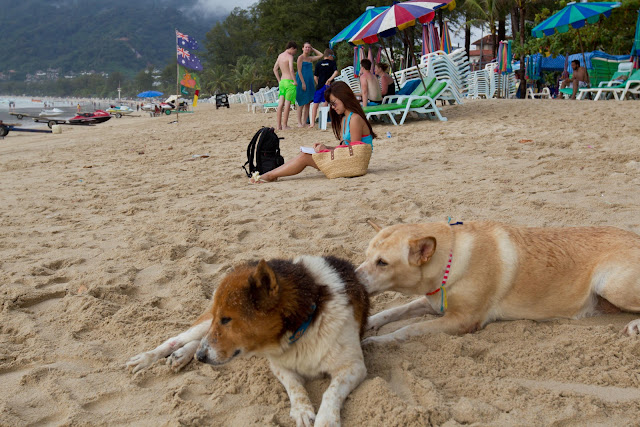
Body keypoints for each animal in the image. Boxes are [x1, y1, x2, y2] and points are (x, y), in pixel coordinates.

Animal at [127, 255, 369, 427]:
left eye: (226, 319)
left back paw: (184, 356)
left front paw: (325, 419)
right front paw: (301, 410)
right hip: (202, 325)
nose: (202, 358)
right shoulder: (279, 366)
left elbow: (331, 391)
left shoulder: (354, 366)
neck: (306, 321)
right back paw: (149, 358)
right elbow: (295, 385)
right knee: (176, 339)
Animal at [356, 220, 640, 345]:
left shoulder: (463, 321)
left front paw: (379, 340)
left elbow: (409, 329)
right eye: (366, 256)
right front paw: (371, 322)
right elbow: (395, 310)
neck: (451, 258)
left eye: (383, 262)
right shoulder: (434, 302)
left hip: (611, 284)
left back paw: (634, 326)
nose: (353, 279)